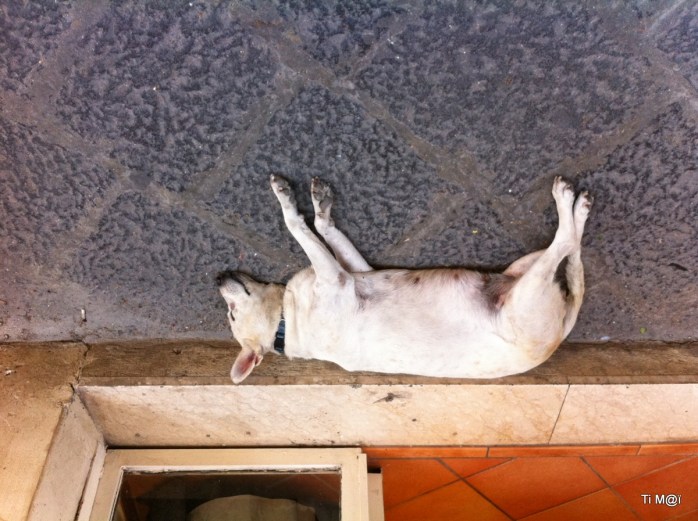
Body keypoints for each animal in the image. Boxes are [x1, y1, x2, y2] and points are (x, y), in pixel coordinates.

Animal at [218, 175, 591, 383]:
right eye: (232, 315)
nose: (218, 277)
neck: (285, 323)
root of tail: (559, 335)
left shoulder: (354, 269)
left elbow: (323, 228)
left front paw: (318, 204)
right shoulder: (337, 277)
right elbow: (296, 224)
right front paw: (288, 200)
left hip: (521, 269)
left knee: (572, 255)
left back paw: (576, 208)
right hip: (527, 292)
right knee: (565, 245)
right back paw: (570, 205)